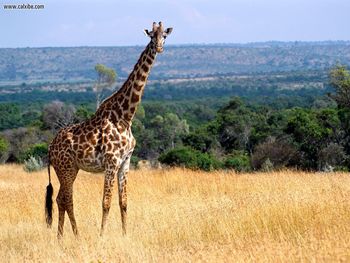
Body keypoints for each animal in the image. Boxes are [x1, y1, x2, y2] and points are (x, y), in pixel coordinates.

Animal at [44, 21, 173, 238]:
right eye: (151, 36)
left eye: (164, 35)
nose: (159, 47)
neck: (125, 117)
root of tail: (50, 148)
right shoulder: (111, 162)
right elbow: (106, 202)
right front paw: (102, 236)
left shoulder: (125, 162)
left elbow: (123, 202)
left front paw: (125, 234)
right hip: (66, 168)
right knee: (66, 199)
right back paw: (75, 235)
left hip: (71, 169)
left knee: (61, 198)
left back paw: (62, 237)